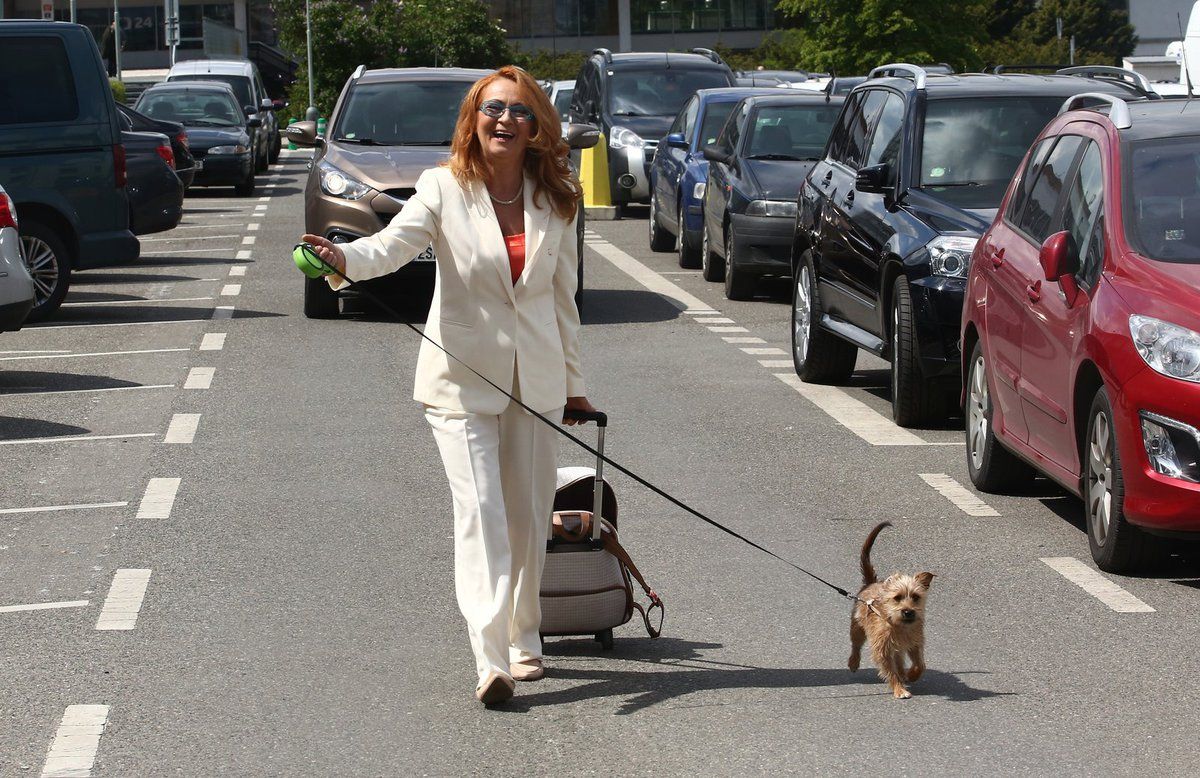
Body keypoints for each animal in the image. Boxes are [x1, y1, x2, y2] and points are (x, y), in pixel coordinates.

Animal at [849, 523, 931, 701]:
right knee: (856, 646)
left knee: (899, 659)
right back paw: (853, 662)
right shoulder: (882, 650)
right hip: (857, 629)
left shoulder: (915, 643)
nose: (908, 612)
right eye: (897, 597)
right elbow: (890, 671)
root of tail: (871, 583)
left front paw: (912, 674)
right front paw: (899, 689)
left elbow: (920, 664)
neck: (899, 625)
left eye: (916, 597)